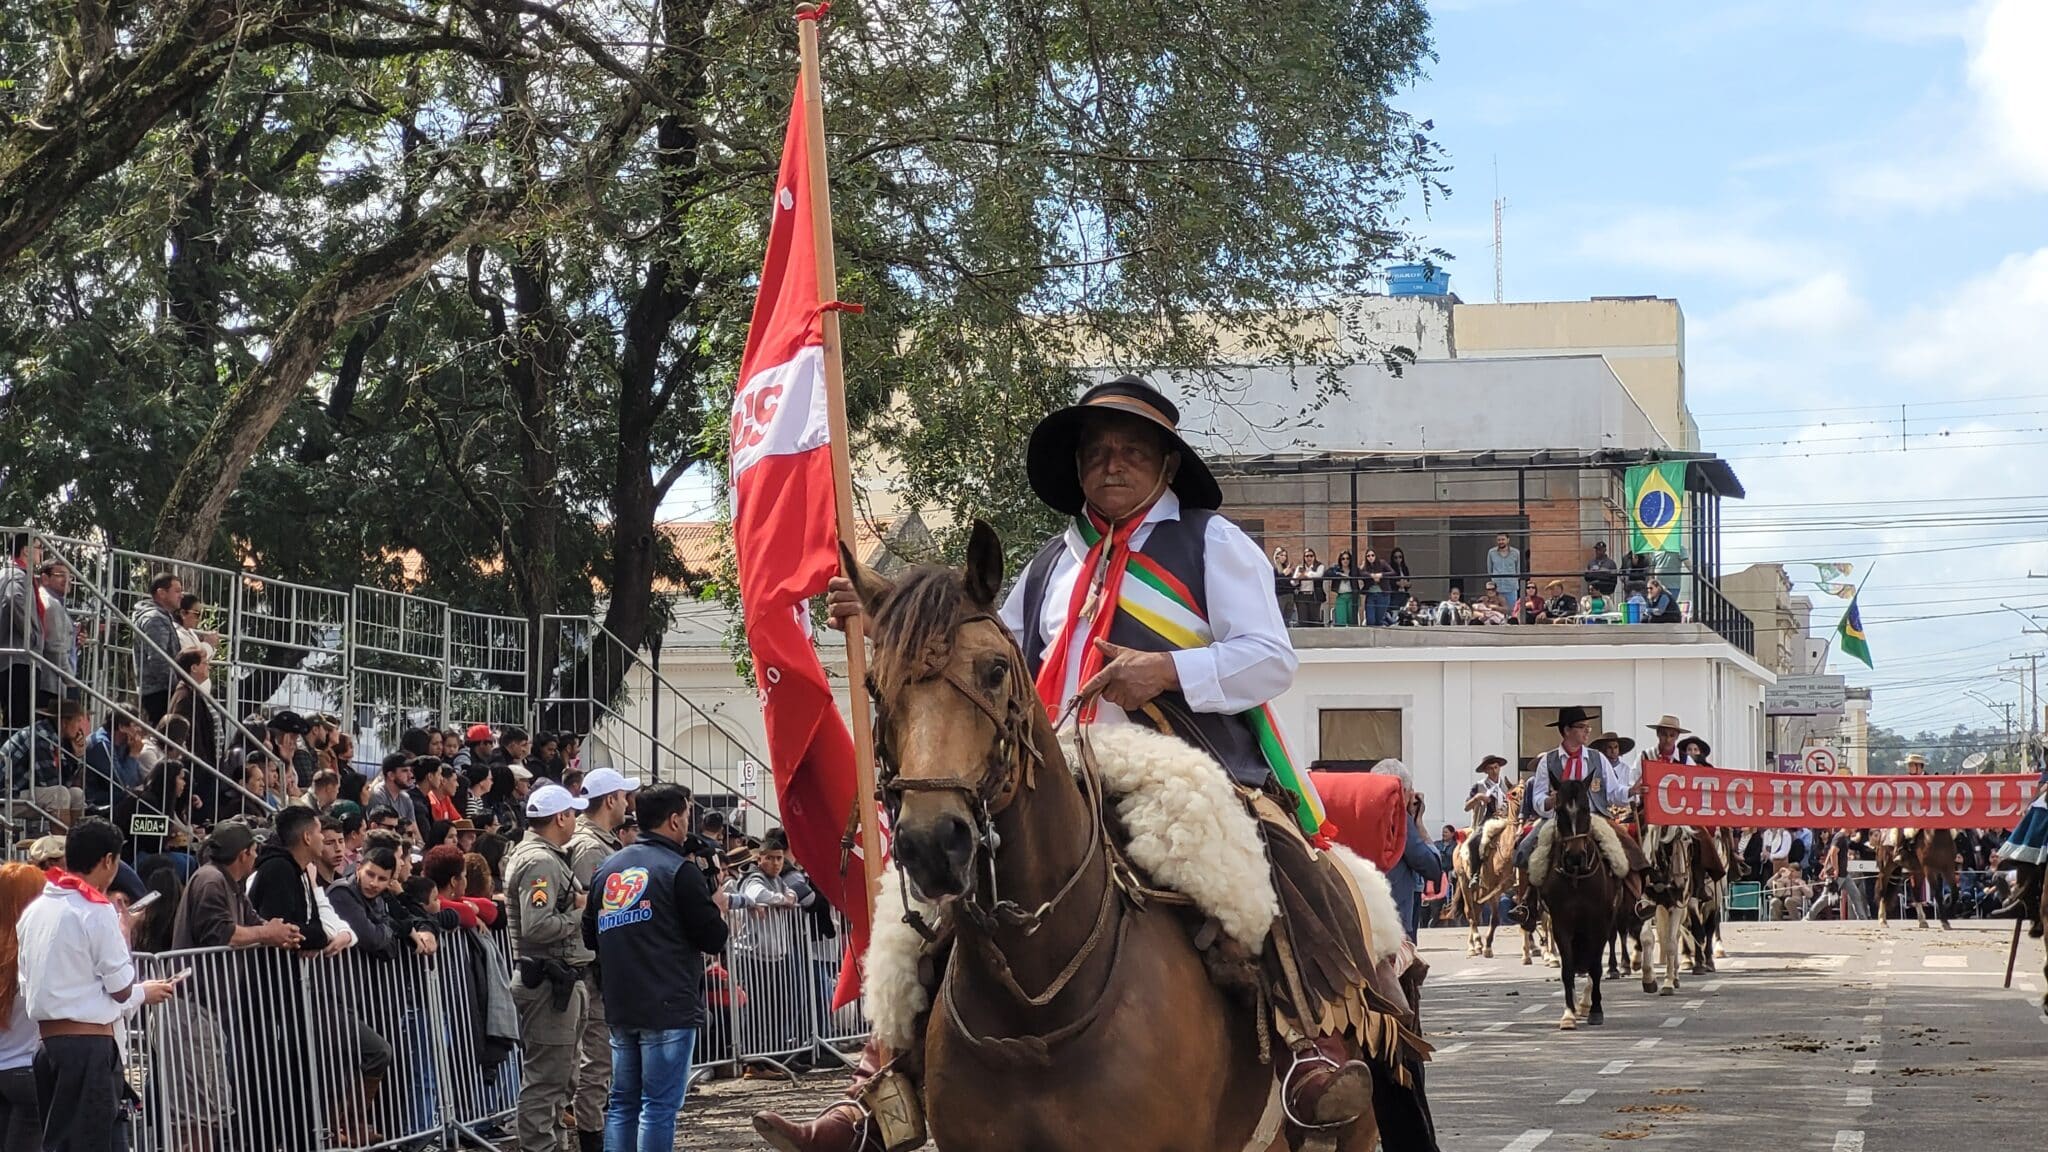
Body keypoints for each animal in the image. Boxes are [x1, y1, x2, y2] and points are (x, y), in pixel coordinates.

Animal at [1533, 775, 1617, 1030]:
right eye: (1559, 810)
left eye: (1586, 809)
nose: (1575, 856)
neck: (1577, 878)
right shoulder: (1561, 923)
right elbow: (1568, 969)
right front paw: (1568, 1014)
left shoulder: (1599, 922)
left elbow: (1595, 967)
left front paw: (1596, 1011)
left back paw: (1588, 1003)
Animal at [1637, 823, 1693, 995]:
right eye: (1668, 845)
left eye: (1688, 841)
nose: (1682, 882)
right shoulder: (1647, 901)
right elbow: (1647, 938)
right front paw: (1649, 979)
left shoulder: (1676, 905)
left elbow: (1670, 943)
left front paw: (1668, 983)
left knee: (1675, 936)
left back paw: (1675, 977)